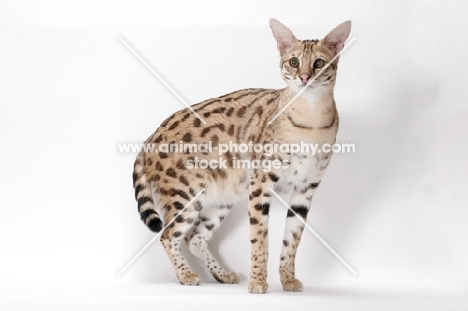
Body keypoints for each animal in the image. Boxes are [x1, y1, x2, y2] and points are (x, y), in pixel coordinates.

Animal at [133, 19, 352, 294]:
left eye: (319, 63)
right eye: (293, 62)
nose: (304, 77)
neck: (311, 119)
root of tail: (150, 138)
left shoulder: (306, 188)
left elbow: (292, 240)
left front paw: (287, 279)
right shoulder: (261, 182)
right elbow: (260, 238)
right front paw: (258, 281)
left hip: (221, 199)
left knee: (194, 237)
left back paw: (221, 274)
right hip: (185, 195)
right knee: (168, 235)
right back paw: (185, 275)